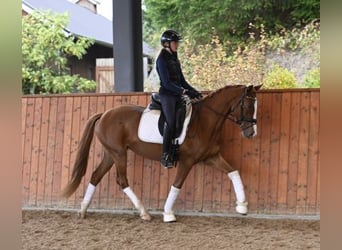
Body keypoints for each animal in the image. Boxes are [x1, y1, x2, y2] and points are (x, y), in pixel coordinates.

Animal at [61, 84, 260, 223]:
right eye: (248, 105)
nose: (251, 133)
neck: (204, 122)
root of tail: (104, 114)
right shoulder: (188, 161)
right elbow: (177, 185)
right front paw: (168, 213)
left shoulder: (211, 157)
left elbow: (234, 172)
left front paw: (242, 207)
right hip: (119, 154)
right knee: (121, 180)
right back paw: (144, 213)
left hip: (111, 154)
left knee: (96, 176)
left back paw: (83, 211)